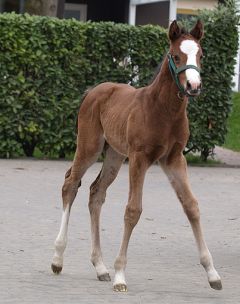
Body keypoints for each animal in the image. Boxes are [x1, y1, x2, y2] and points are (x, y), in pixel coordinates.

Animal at [51, 20, 222, 290]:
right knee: (70, 184)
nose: (193, 86)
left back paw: (100, 267)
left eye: (201, 55)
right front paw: (120, 275)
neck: (163, 110)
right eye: (176, 55)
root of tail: (93, 91)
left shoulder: (174, 159)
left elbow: (191, 206)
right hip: (90, 147)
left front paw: (212, 273)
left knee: (96, 192)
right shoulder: (139, 158)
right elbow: (133, 210)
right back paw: (58, 259)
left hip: (114, 155)